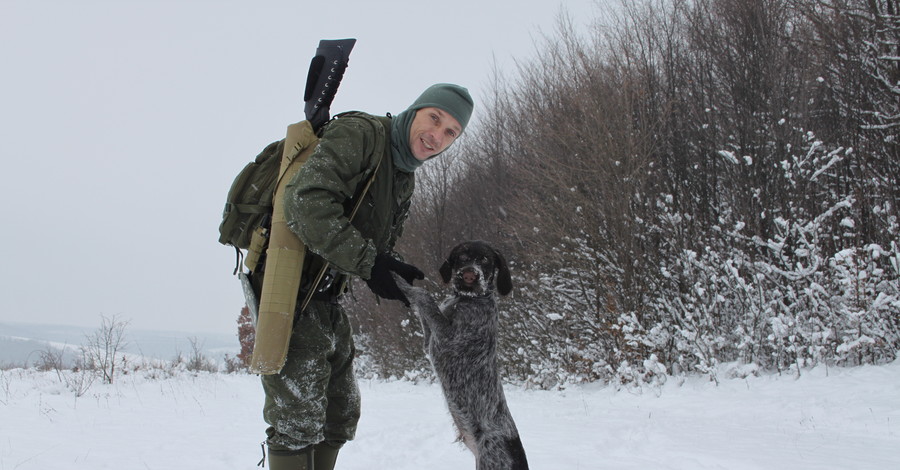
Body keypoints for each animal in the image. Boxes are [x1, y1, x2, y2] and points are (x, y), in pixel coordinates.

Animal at [394, 242, 528, 470]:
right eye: (462, 257)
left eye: (485, 259)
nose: (469, 276)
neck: (468, 300)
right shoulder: (430, 342)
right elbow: (427, 312)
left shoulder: (445, 340)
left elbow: (424, 296)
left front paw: (397, 278)